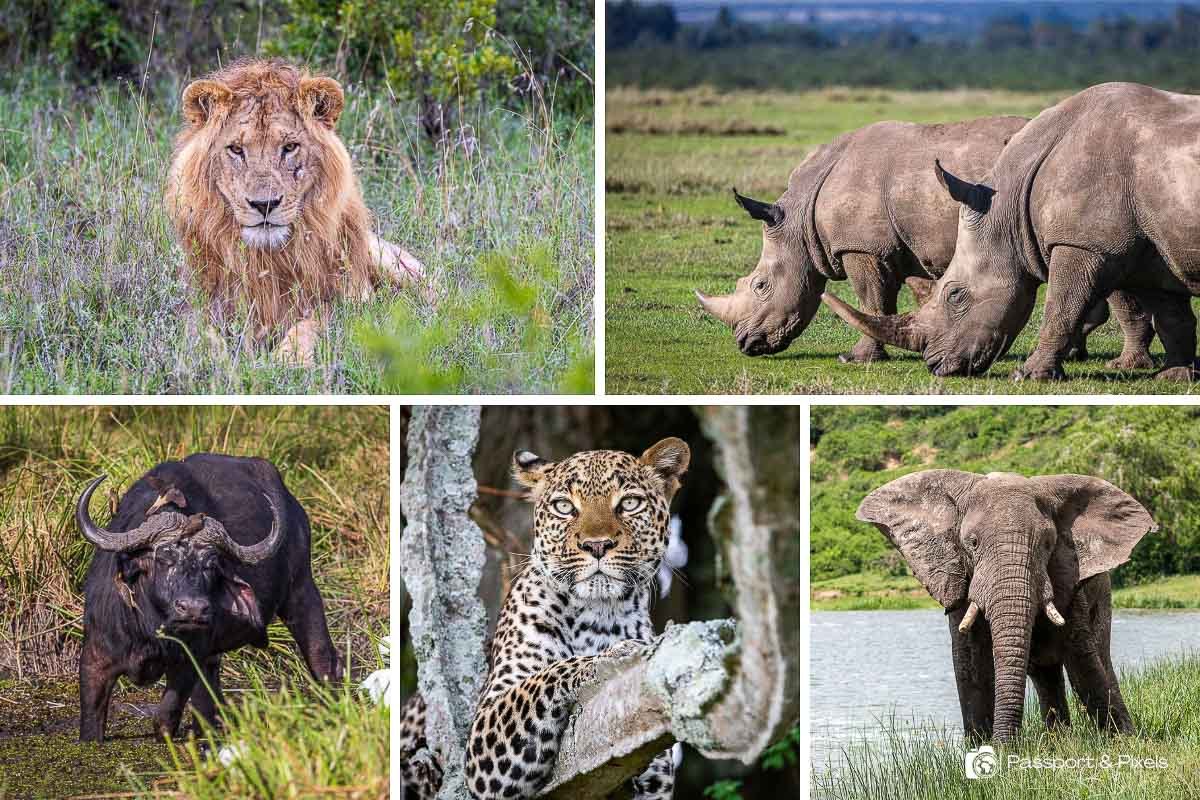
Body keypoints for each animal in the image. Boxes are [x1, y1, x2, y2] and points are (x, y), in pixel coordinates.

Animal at [694, 116, 1154, 366]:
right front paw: (926, 343)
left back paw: (1121, 362)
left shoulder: (863, 247)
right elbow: (918, 295)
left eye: (760, 286)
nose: (744, 344)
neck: (800, 218)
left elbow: (871, 299)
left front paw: (856, 358)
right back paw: (1082, 352)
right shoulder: (910, 244)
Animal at [822, 82, 1200, 381]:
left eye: (955, 295)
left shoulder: (1086, 244)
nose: (934, 365)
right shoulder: (1152, 245)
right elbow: (1171, 314)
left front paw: (1029, 376)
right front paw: (1176, 377)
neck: (1009, 211)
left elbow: (1061, 306)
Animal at [858, 469, 1158, 743]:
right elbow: (970, 664)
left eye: (1048, 544)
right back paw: (1058, 740)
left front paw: (1122, 742)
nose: (1006, 746)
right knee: (1045, 672)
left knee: (1098, 657)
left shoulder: (1068, 577)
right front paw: (982, 750)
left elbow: (1081, 659)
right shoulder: (959, 579)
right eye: (972, 543)